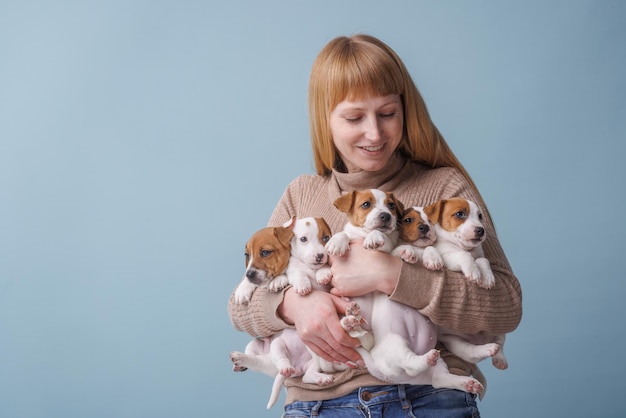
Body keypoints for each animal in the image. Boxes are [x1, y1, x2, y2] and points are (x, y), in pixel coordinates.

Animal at [422, 198, 510, 370]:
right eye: (459, 214)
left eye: (480, 216)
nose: (481, 230)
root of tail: (480, 340)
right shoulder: (447, 258)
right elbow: (464, 256)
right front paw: (473, 272)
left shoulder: (480, 255)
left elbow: (483, 260)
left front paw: (487, 277)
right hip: (455, 343)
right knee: (472, 352)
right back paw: (488, 349)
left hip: (497, 325)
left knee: (500, 342)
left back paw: (499, 358)